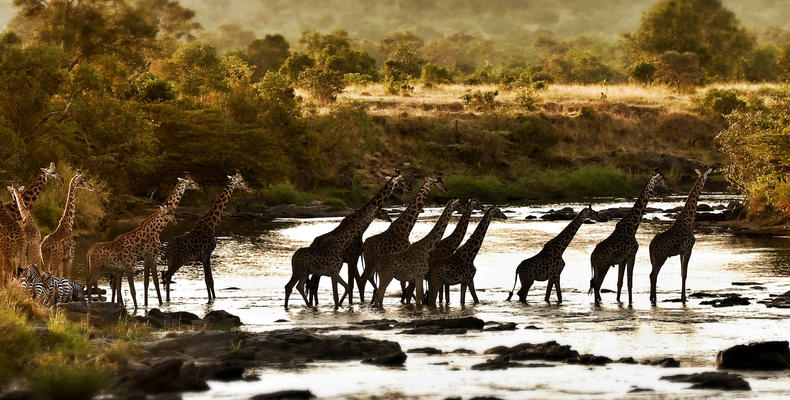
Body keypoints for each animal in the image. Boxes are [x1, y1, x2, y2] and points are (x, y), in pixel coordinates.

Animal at [284, 173, 406, 310]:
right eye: (400, 181)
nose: (390, 219)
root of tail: (313, 242)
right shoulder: (352, 259)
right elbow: (355, 284)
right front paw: (352, 304)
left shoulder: (350, 261)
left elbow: (354, 283)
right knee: (310, 285)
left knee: (310, 285)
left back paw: (313, 304)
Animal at [588, 170, 668, 304]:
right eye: (661, 179)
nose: (667, 186)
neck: (633, 226)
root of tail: (592, 257)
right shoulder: (632, 255)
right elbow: (629, 283)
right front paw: (631, 302)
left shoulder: (622, 259)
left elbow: (620, 282)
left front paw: (619, 301)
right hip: (603, 266)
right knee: (597, 285)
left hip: (599, 268)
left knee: (596, 285)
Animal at [652, 166, 716, 304]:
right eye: (706, 175)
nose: (706, 181)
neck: (689, 222)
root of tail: (650, 246)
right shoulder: (688, 249)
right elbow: (685, 273)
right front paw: (684, 298)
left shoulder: (681, 252)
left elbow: (682, 273)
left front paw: (683, 296)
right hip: (661, 257)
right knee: (653, 275)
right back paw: (653, 299)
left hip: (654, 259)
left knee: (653, 275)